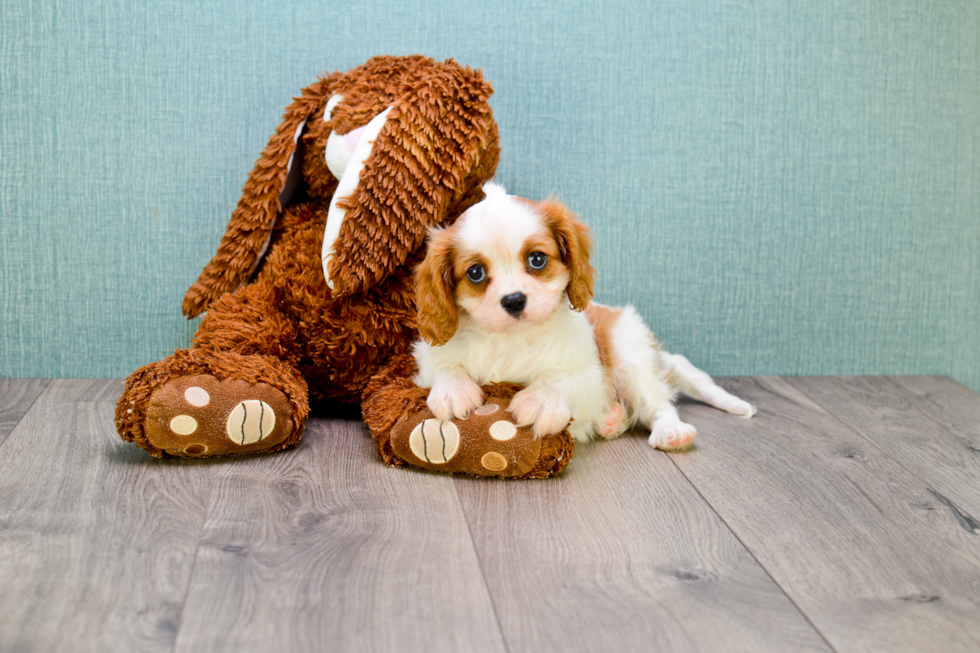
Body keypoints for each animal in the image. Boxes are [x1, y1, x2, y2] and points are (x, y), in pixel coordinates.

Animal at [410, 182, 756, 448]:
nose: (514, 300)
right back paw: (611, 421)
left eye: (537, 259)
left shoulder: (590, 373)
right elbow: (446, 366)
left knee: (657, 404)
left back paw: (670, 432)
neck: (512, 338)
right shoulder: (428, 360)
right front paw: (453, 390)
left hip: (629, 354)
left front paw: (541, 401)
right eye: (476, 273)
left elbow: (559, 376)